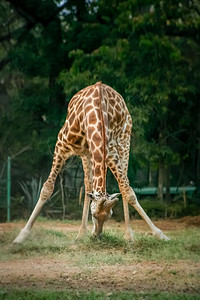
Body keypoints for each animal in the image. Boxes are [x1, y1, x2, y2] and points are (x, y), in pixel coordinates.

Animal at [13, 82, 170, 244]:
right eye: (94, 214)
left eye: (109, 216)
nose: (97, 236)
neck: (94, 117)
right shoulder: (61, 144)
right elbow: (47, 188)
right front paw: (21, 236)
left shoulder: (110, 152)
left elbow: (128, 191)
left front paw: (159, 234)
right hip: (86, 153)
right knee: (88, 184)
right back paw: (81, 234)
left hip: (124, 139)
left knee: (123, 182)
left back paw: (128, 234)